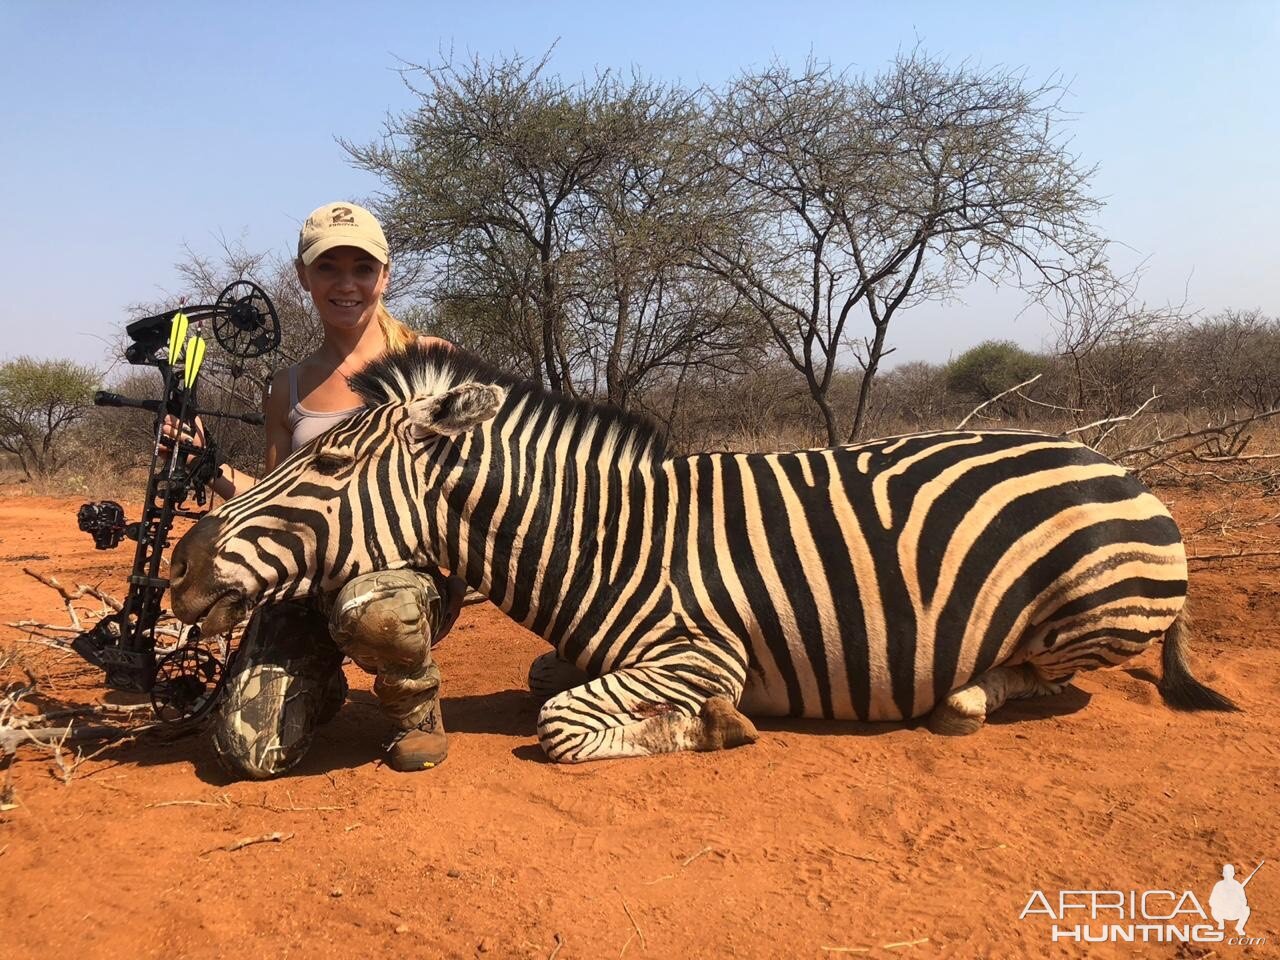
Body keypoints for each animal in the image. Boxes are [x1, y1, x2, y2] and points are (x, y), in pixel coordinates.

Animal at [170, 345, 1239, 768]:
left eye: (330, 461)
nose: (182, 565)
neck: (606, 542)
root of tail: (1123, 467)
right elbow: (548, 675)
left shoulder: (702, 650)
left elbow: (563, 721)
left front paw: (714, 725)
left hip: (1086, 611)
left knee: (1037, 677)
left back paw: (965, 697)